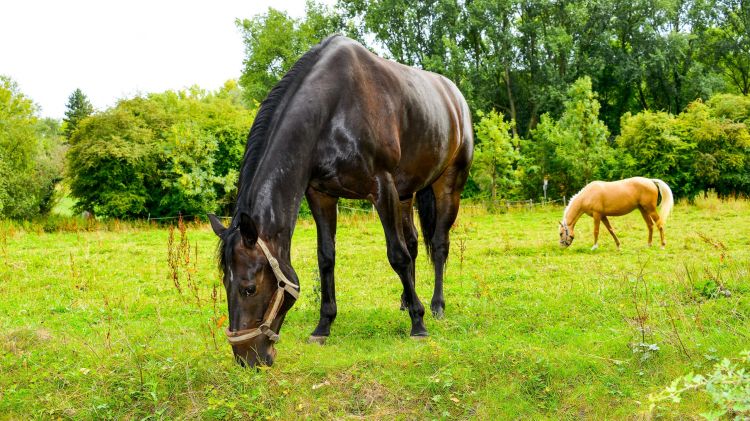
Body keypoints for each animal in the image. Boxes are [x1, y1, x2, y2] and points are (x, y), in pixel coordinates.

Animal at [206, 34, 476, 366]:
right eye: (225, 284)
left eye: (249, 288)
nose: (247, 359)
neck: (334, 111)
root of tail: (456, 97)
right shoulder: (321, 194)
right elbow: (326, 258)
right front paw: (323, 326)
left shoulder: (382, 187)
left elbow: (396, 255)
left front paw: (418, 323)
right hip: (406, 193)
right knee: (413, 242)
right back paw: (406, 299)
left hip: (448, 186)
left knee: (437, 244)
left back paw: (436, 306)